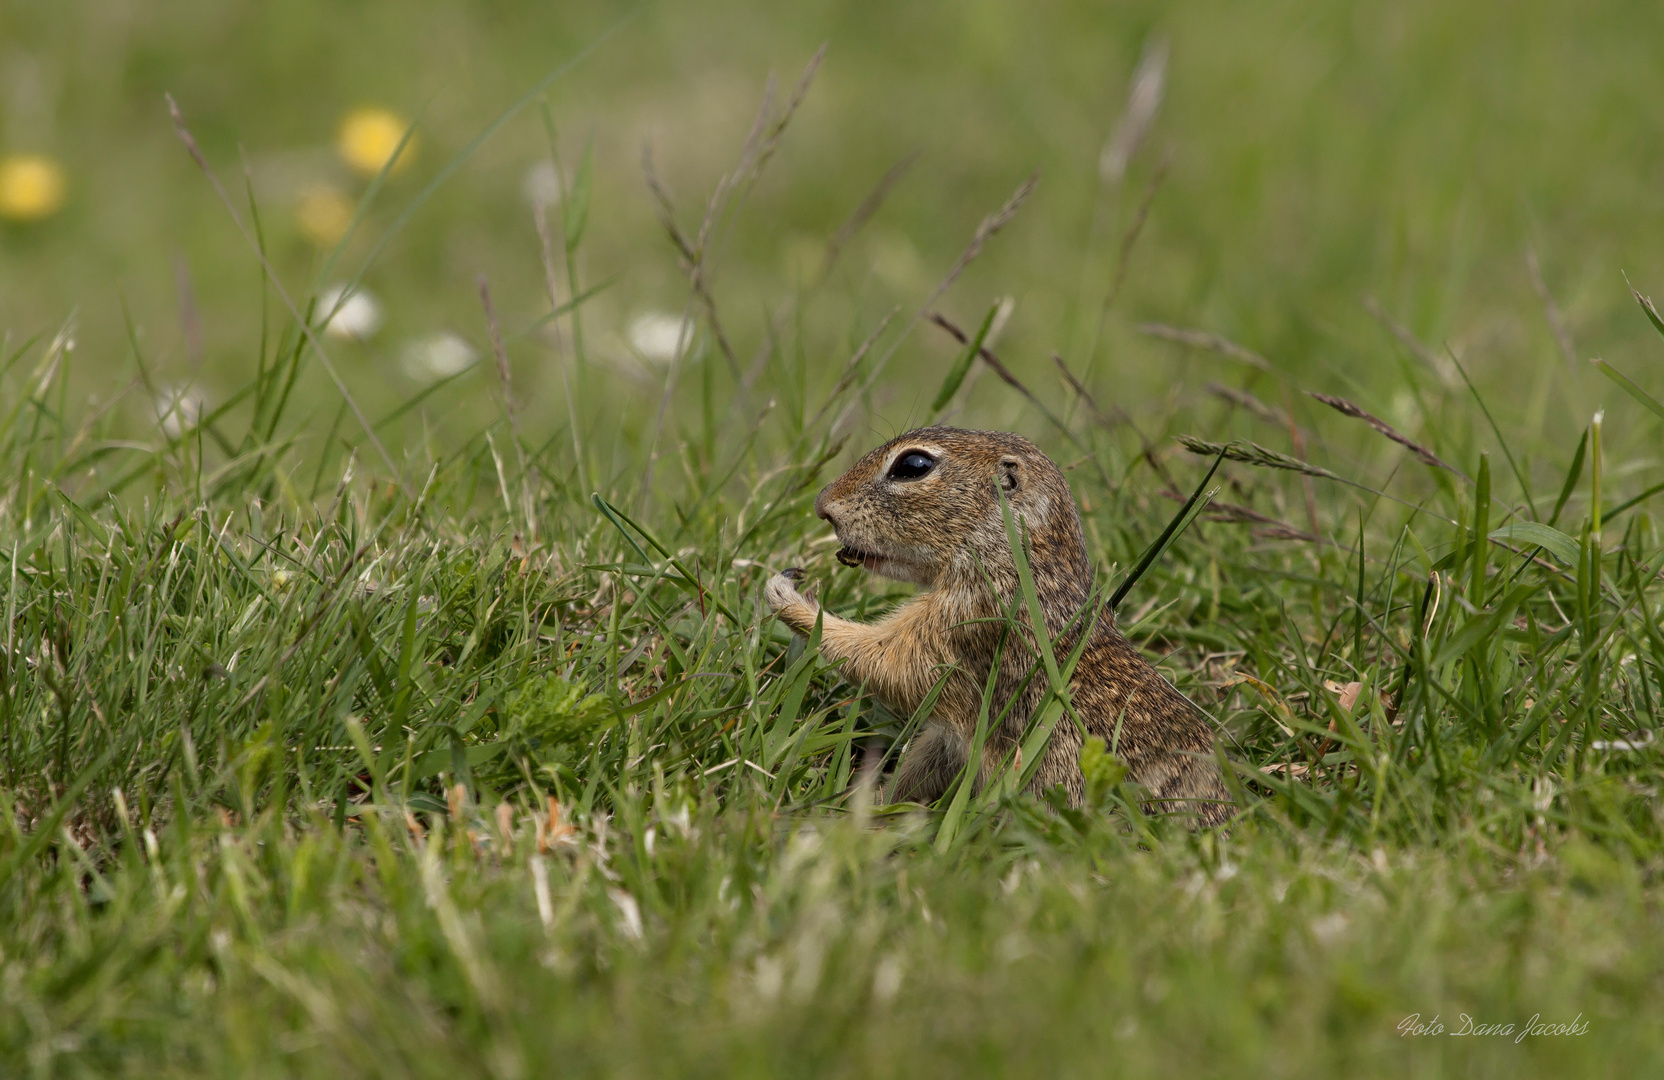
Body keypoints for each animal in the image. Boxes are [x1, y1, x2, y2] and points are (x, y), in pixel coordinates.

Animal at [768, 426, 1238, 825]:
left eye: (913, 466)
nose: (823, 506)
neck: (1013, 558)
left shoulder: (962, 629)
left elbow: (884, 660)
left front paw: (787, 596)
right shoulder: (949, 735)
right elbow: (918, 767)